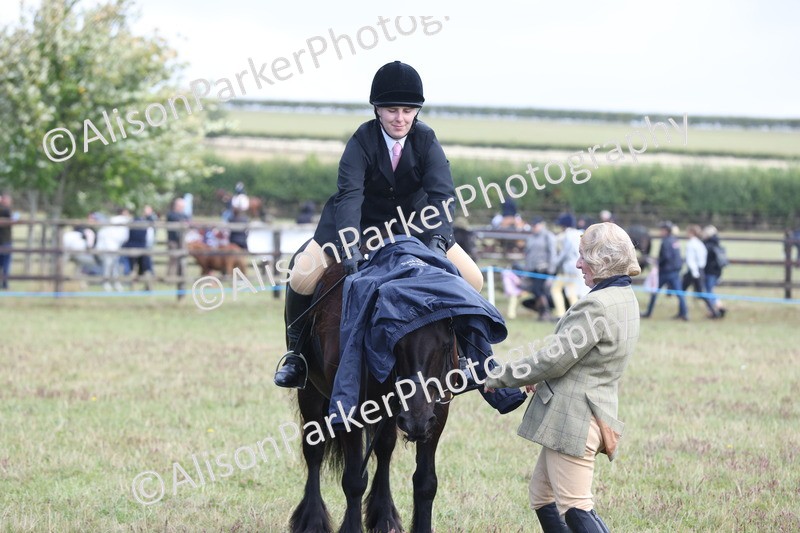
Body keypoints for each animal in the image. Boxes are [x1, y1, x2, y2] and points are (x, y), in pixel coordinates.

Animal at [289, 259, 458, 533]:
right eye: (396, 343)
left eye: (445, 345)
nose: (417, 422)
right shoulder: (348, 408)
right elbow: (354, 481)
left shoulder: (438, 412)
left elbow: (425, 482)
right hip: (311, 396)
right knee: (314, 451)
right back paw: (312, 521)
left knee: (384, 449)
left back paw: (385, 517)